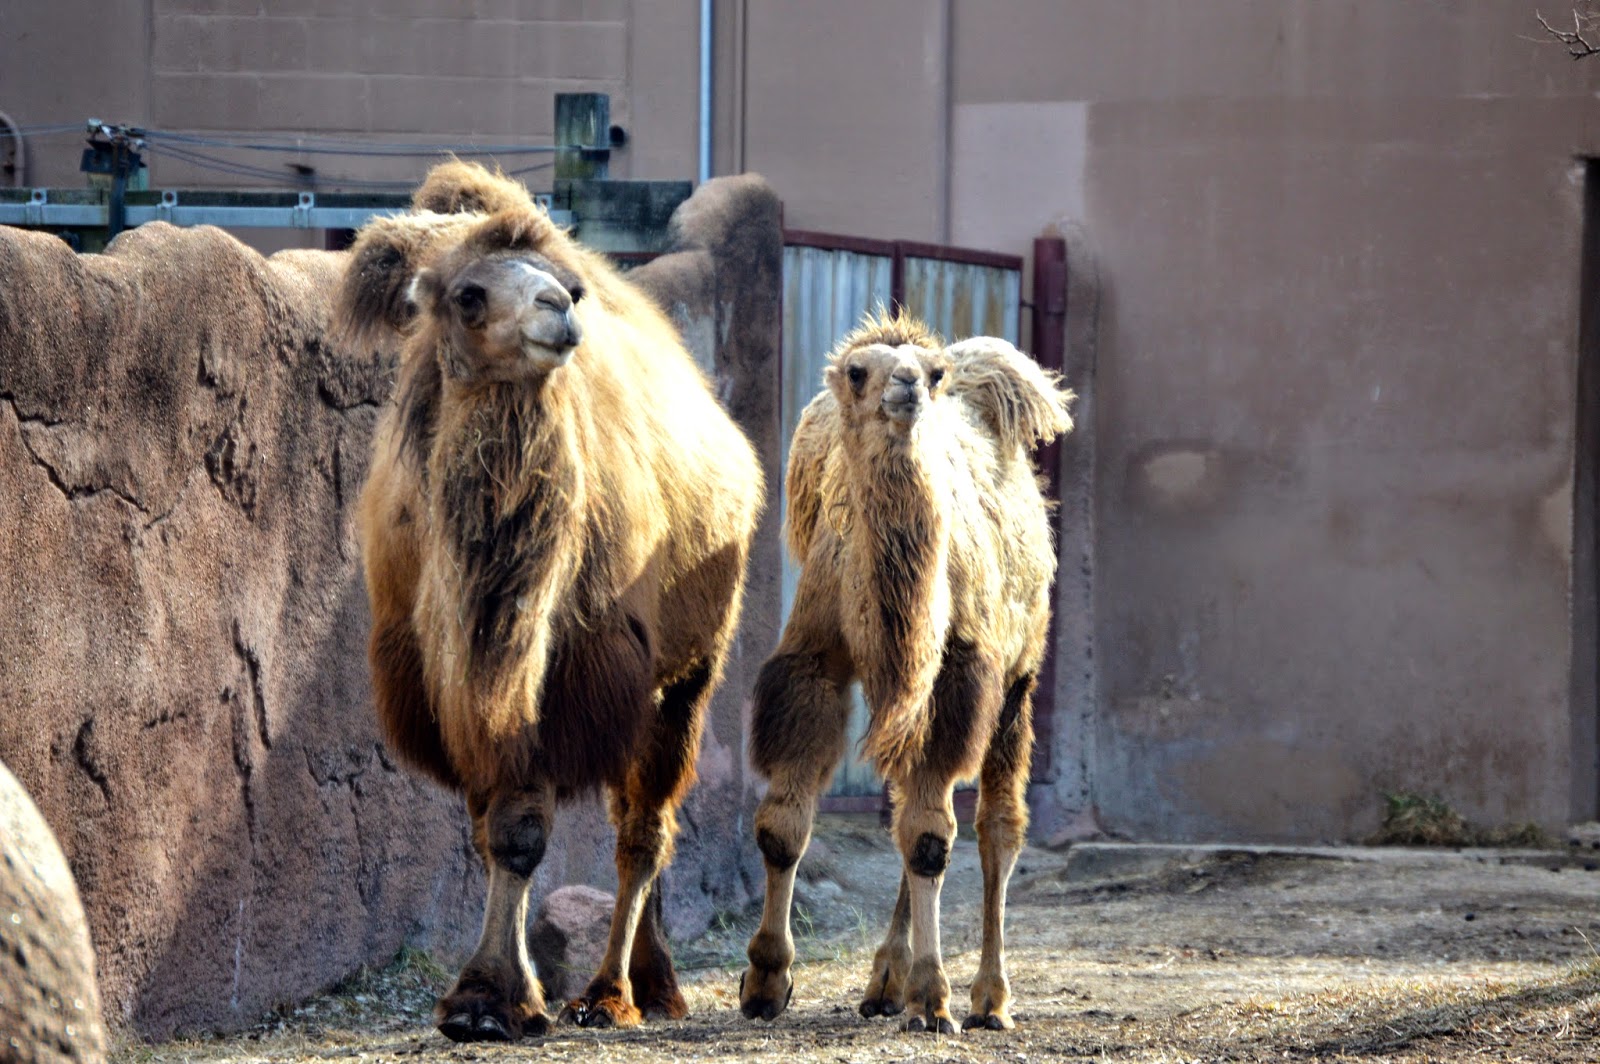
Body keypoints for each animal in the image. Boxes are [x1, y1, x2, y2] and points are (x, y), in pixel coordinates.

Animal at [339, 162, 763, 1042]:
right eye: (469, 294)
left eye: (564, 284)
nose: (558, 309)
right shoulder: (452, 684)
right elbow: (490, 829)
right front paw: (486, 999)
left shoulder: (565, 668)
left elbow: (524, 833)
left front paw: (492, 998)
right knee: (639, 814)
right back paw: (654, 983)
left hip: (686, 668)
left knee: (644, 827)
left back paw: (614, 992)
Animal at [738, 311, 1073, 1034]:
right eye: (857, 370)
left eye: (932, 371)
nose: (909, 387)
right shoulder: (816, 657)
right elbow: (782, 827)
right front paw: (765, 981)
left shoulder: (960, 675)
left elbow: (929, 838)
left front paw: (932, 996)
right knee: (910, 806)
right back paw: (884, 981)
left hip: (1019, 678)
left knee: (995, 825)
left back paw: (988, 998)